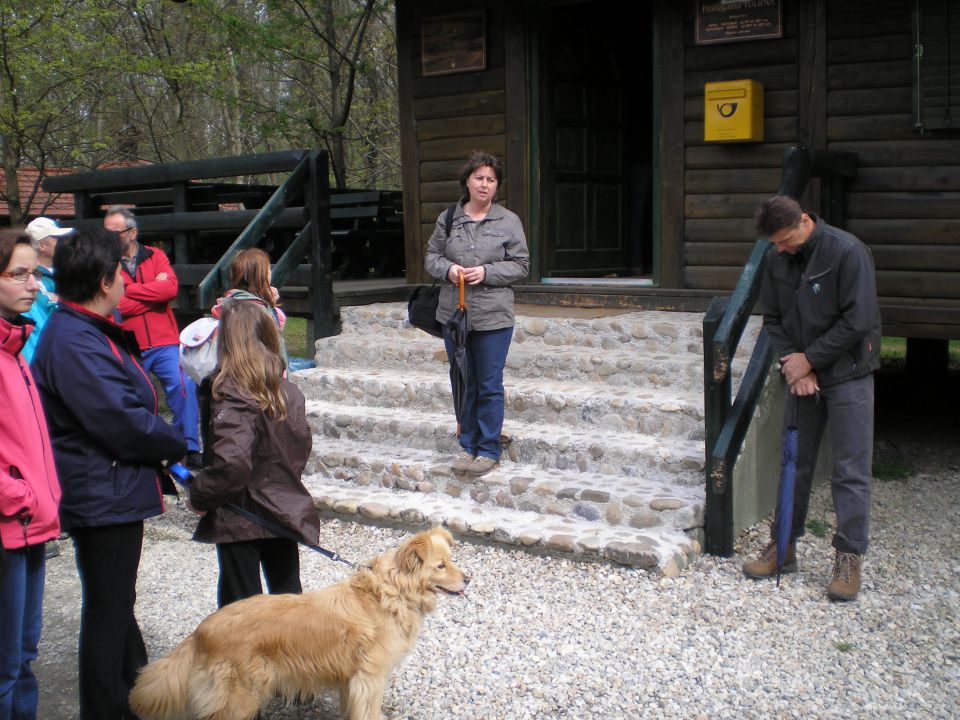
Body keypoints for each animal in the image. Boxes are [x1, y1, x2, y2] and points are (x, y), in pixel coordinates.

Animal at [130, 524, 468, 720]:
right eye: (441, 565)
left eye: (451, 560)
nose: (469, 578)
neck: (390, 592)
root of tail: (201, 631)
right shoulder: (370, 677)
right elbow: (369, 711)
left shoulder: (351, 680)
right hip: (238, 698)